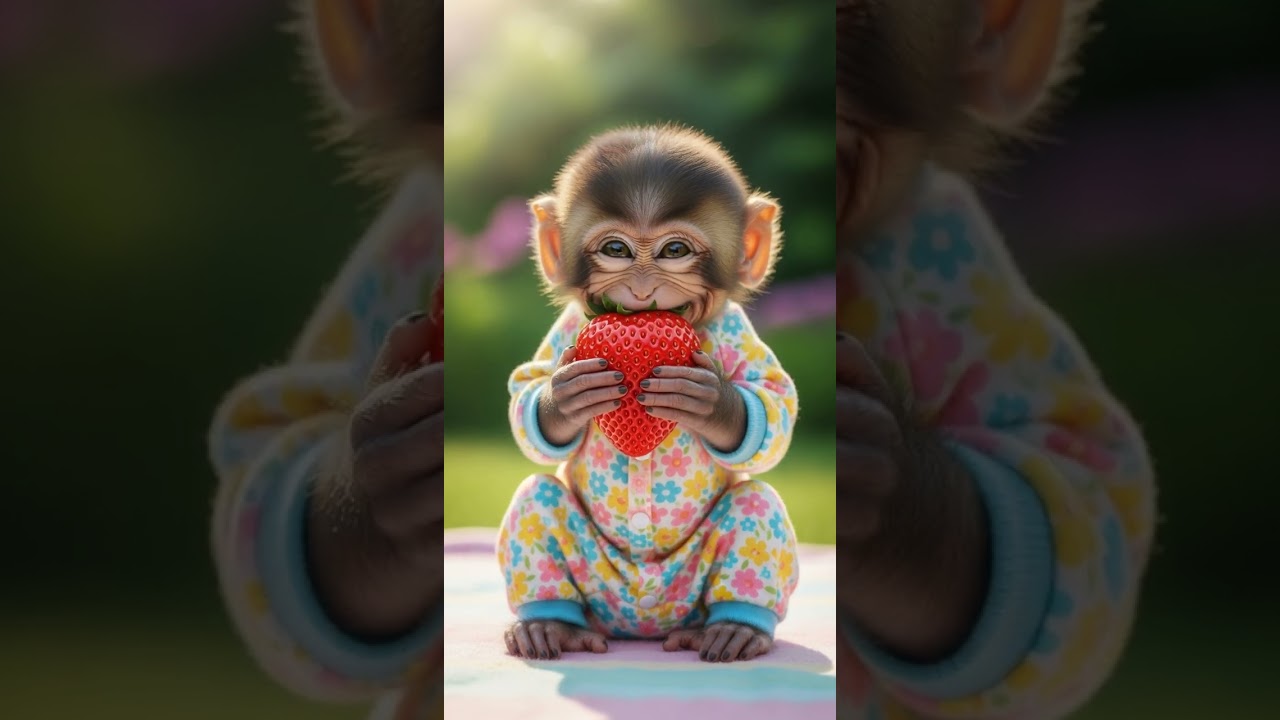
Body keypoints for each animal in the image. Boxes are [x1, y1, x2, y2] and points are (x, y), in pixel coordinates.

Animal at [497, 124, 801, 664]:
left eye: (674, 251)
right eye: (616, 250)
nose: (640, 292)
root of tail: (641, 625)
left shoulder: (737, 333)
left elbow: (774, 405)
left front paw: (710, 401)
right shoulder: (571, 332)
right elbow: (526, 394)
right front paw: (564, 396)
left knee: (757, 503)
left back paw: (736, 628)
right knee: (538, 495)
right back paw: (549, 623)